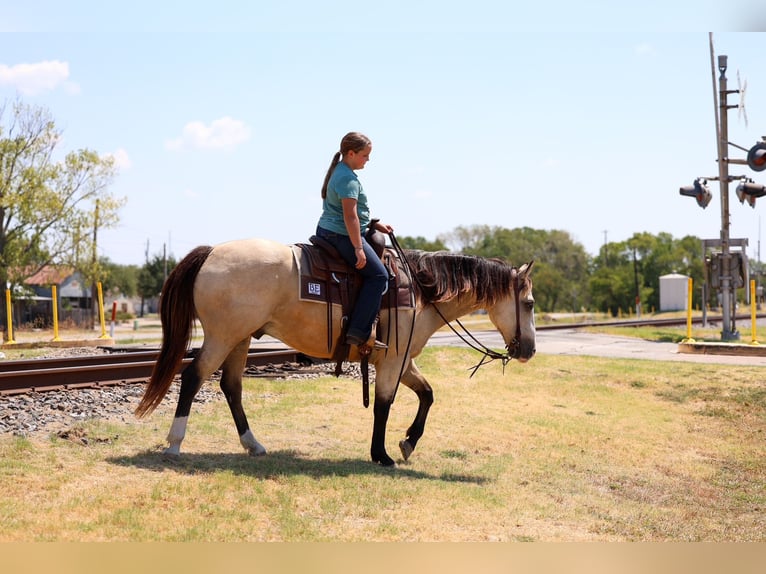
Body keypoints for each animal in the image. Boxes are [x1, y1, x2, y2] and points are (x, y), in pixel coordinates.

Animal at [135, 237, 536, 467]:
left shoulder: (403, 360)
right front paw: (382, 455)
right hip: (222, 336)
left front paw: (407, 442)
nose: (529, 350)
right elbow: (384, 405)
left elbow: (427, 395)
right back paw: (174, 444)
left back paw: (253, 445)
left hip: (240, 339)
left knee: (231, 387)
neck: (420, 292)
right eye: (529, 303)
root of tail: (211, 253)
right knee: (192, 377)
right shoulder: (393, 361)